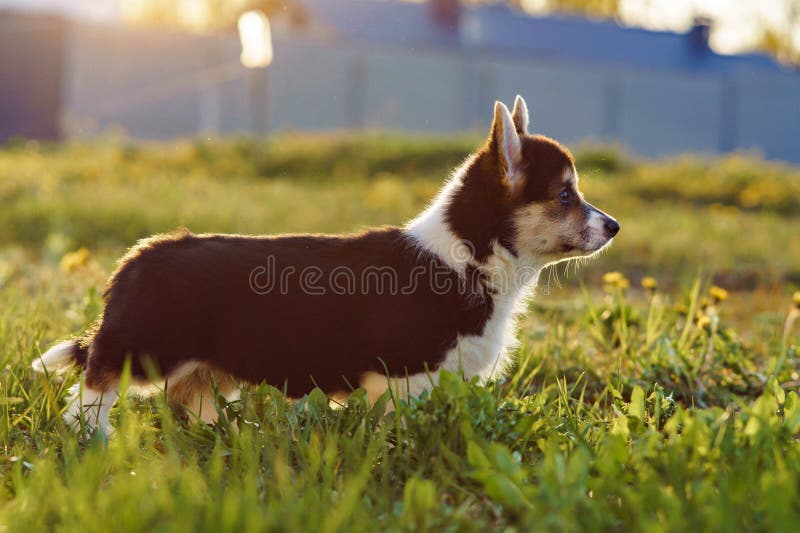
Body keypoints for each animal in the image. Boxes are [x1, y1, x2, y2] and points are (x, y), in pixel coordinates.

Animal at [32, 95, 620, 434]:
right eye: (565, 195)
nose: (614, 226)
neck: (471, 255)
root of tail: (135, 257)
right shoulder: (404, 378)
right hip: (144, 347)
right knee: (94, 386)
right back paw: (93, 439)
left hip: (201, 367)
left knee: (187, 400)